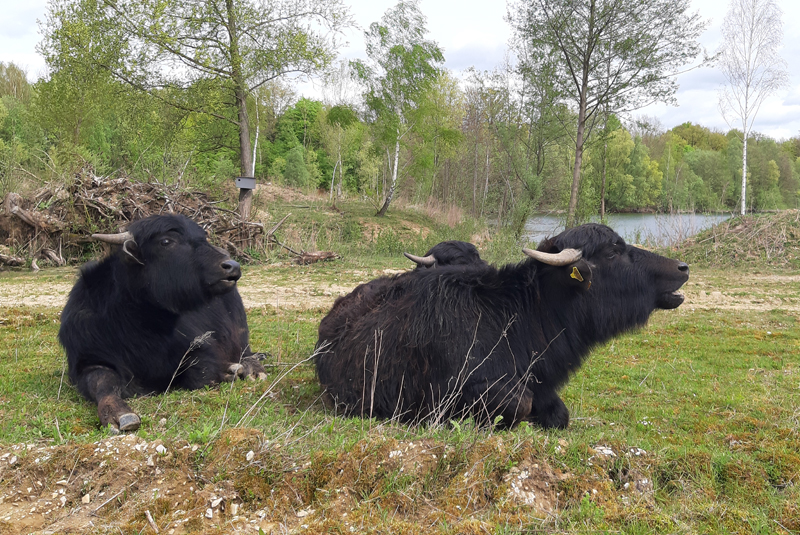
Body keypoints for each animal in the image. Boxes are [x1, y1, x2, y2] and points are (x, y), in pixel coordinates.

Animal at [60, 213, 266, 432]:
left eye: (203, 237)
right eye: (166, 241)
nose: (232, 266)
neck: (142, 325)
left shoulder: (200, 347)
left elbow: (202, 375)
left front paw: (228, 373)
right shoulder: (87, 360)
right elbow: (102, 383)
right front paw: (119, 414)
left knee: (245, 352)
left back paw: (251, 369)